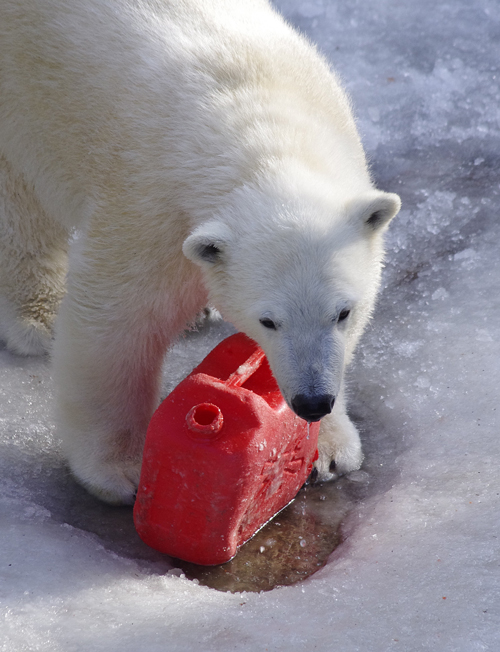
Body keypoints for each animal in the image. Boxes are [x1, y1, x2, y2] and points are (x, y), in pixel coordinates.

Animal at [0, 0, 400, 504]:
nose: (312, 402)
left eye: (344, 312)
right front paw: (121, 469)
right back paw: (39, 315)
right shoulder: (152, 206)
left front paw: (329, 449)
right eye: (269, 320)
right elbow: (117, 323)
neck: (263, 131)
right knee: (21, 204)